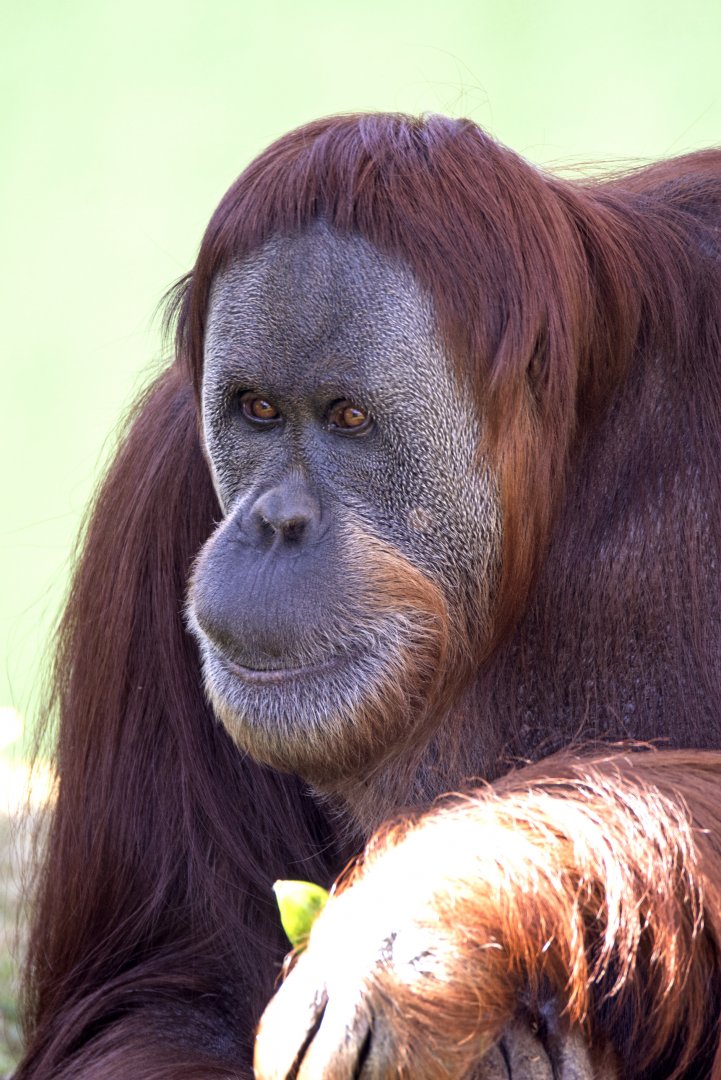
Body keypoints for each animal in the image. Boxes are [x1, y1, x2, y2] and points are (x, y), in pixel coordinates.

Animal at [16, 114, 721, 1079]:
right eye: (259, 410)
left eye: (347, 418)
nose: (272, 522)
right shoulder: (156, 491)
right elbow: (152, 1005)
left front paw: (405, 931)